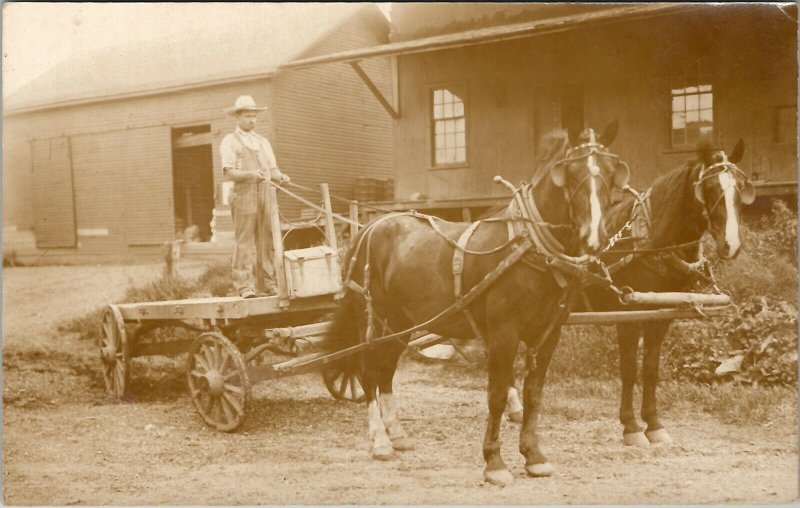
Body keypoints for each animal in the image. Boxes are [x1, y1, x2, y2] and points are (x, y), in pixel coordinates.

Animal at [326, 121, 632, 486]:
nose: (594, 237)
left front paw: (534, 456)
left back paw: (397, 435)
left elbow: (534, 395)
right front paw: (494, 462)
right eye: (569, 173)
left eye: (613, 172)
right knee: (368, 372)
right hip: (374, 319)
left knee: (385, 371)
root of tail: (369, 226)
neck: (529, 249)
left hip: (401, 323)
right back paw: (380, 440)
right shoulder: (503, 333)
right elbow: (497, 395)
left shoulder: (548, 334)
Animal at [506, 139, 756, 444]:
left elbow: (650, 370)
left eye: (742, 187)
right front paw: (632, 427)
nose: (731, 244)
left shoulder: (660, 316)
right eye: (708, 188)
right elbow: (628, 370)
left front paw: (654, 424)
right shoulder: (628, 315)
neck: (650, 242)